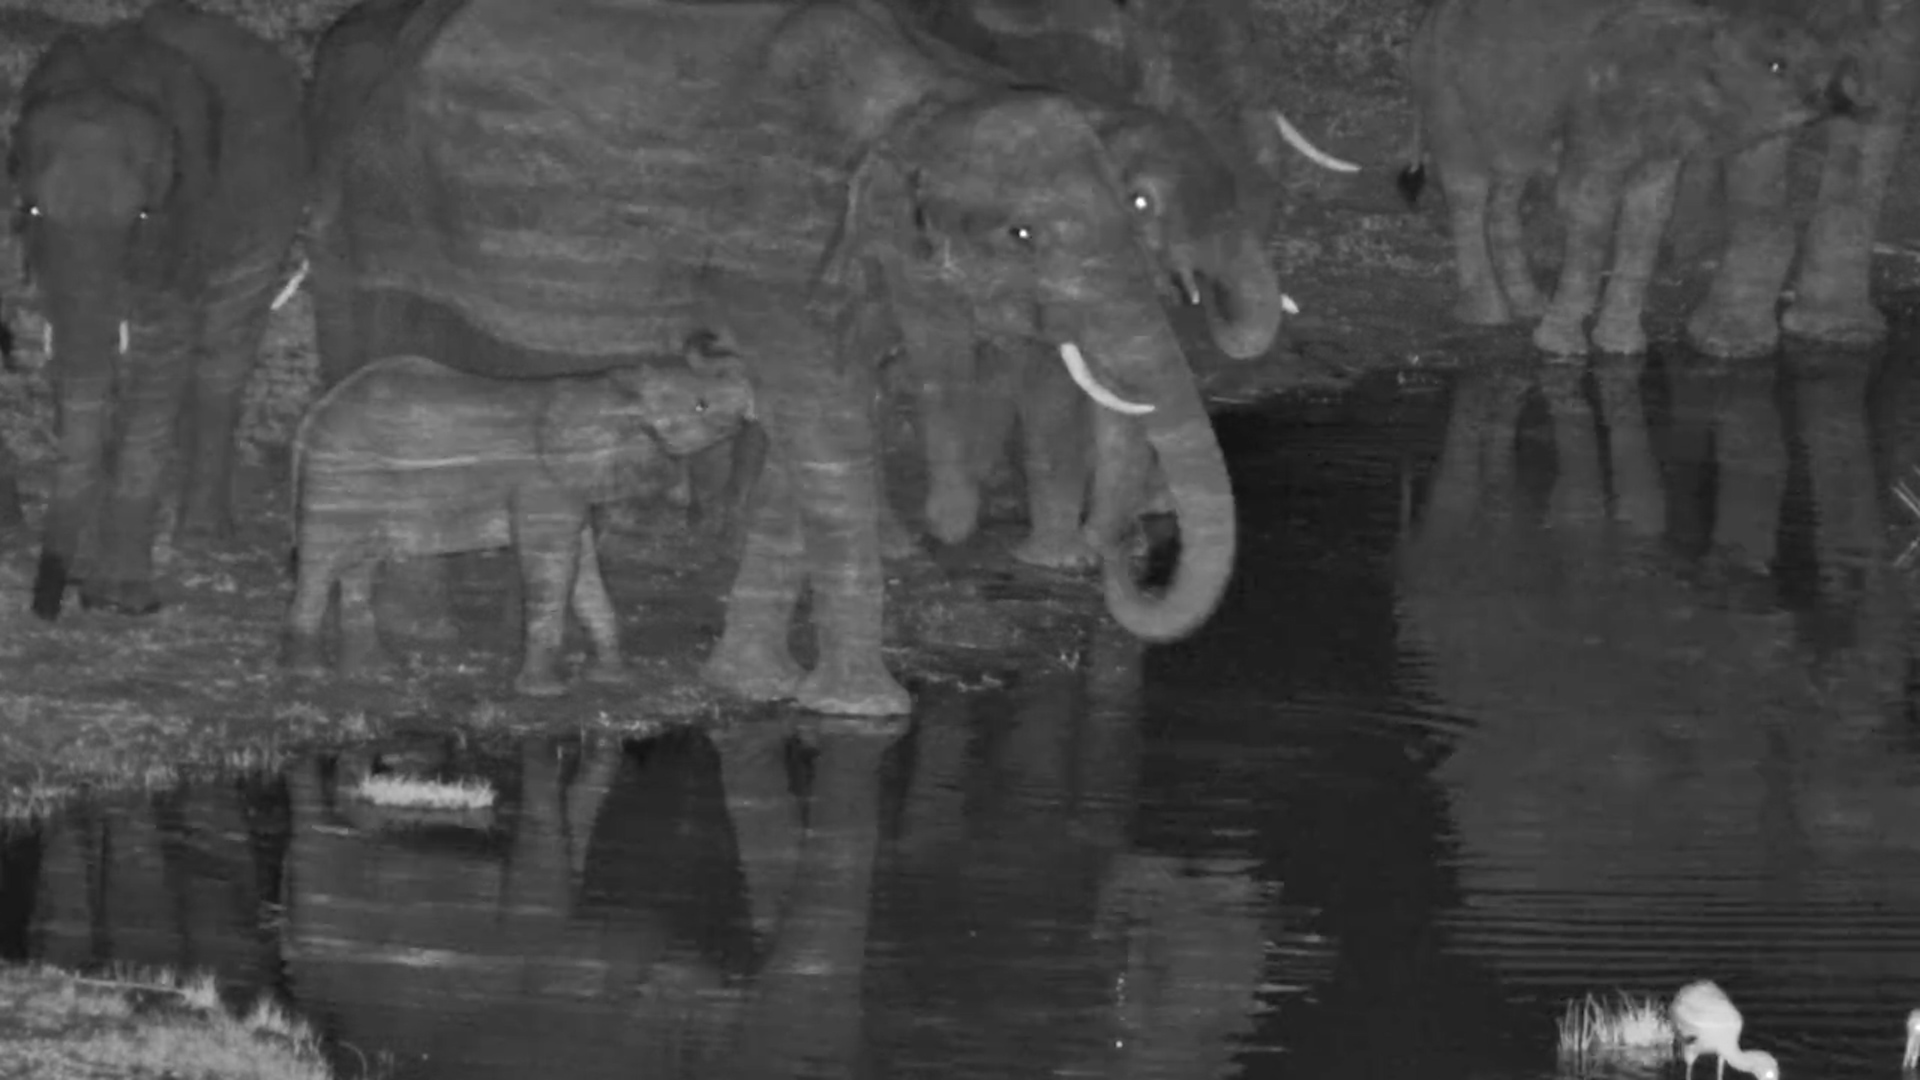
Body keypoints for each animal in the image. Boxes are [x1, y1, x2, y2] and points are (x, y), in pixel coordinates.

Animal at [5, 1, 309, 619]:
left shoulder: (187, 214)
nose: (48, 603)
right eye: (31, 211)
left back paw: (202, 535)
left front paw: (121, 601)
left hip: (272, 205)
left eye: (144, 217)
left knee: (223, 347)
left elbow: (159, 357)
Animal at [283, 345, 755, 697]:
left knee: (358, 567)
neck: (609, 387)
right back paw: (312, 674)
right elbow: (553, 568)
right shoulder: (543, 482)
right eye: (700, 404)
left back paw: (371, 672)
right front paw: (546, 692)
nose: (749, 410)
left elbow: (584, 568)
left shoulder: (571, 486)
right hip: (340, 477)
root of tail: (313, 412)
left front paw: (614, 679)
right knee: (322, 564)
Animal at [1400, 0, 1855, 358]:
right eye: (1776, 65)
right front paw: (1562, 350)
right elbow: (1587, 204)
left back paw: (1528, 304)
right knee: (1467, 187)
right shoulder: (1600, 113)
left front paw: (1623, 348)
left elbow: (1651, 212)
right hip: (1443, 90)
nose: (1841, 104)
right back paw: (1489, 315)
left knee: (1508, 187)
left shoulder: (1662, 142)